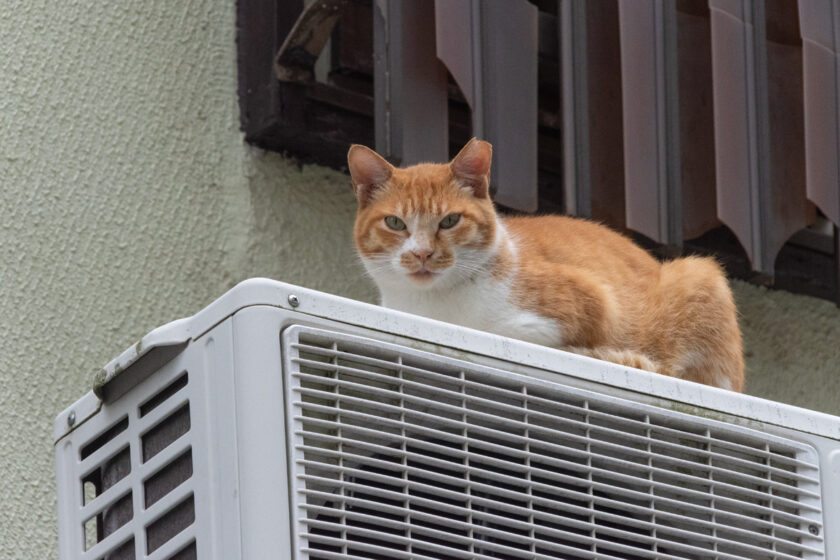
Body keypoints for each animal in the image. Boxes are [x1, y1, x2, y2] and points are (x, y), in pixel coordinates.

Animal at [346, 138, 740, 392]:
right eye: (395, 223)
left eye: (450, 221)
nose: (423, 254)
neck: (431, 309)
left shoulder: (594, 303)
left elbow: (515, 332)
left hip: (699, 275)